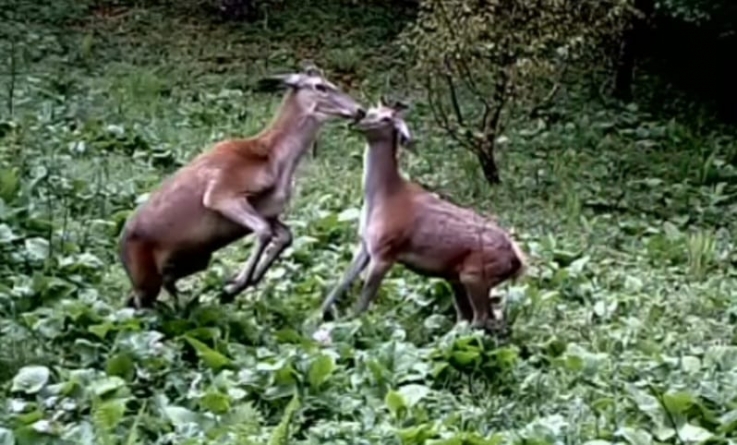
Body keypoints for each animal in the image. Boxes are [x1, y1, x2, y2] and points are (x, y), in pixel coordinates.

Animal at [119, 65, 366, 308]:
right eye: (320, 86)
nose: (361, 110)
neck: (275, 159)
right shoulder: (222, 190)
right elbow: (264, 231)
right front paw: (236, 284)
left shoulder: (269, 211)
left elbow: (286, 235)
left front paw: (243, 282)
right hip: (144, 274)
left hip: (191, 261)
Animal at [320, 98, 528, 332]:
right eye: (370, 110)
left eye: (386, 118)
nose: (357, 121)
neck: (383, 197)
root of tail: (517, 262)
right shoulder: (365, 245)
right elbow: (340, 283)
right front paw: (320, 316)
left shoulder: (386, 250)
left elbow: (363, 301)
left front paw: (347, 325)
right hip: (457, 278)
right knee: (477, 317)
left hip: (475, 273)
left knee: (482, 318)